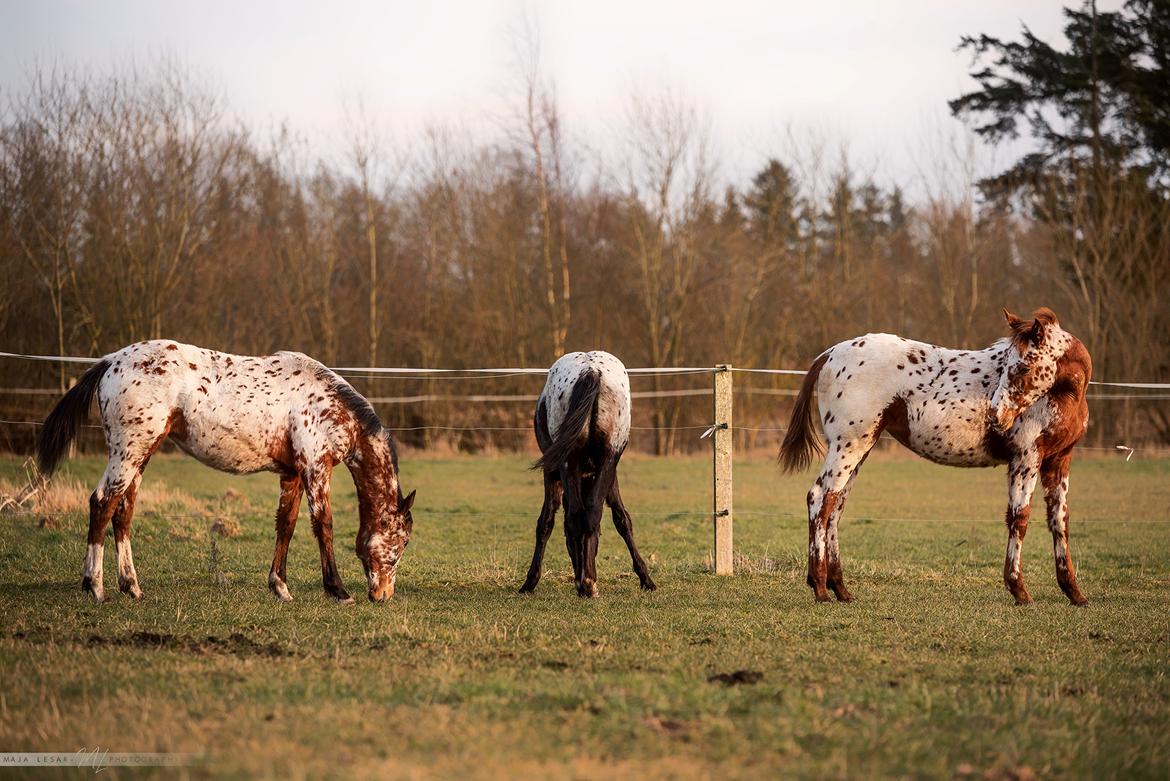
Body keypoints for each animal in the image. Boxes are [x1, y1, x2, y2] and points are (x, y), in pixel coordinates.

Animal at [36, 339, 416, 603]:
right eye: (402, 542)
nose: (383, 595)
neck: (326, 403)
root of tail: (112, 360)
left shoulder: (292, 474)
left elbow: (286, 525)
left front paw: (280, 587)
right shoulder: (315, 468)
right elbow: (324, 527)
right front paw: (338, 590)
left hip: (139, 455)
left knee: (123, 512)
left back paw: (132, 587)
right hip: (128, 452)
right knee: (102, 503)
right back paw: (96, 587)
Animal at [521, 353, 659, 598]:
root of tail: (591, 371)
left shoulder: (553, 473)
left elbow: (546, 521)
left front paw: (530, 581)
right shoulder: (608, 473)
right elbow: (620, 518)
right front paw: (645, 578)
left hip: (570, 463)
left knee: (578, 514)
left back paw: (585, 582)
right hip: (605, 461)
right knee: (590, 512)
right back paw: (588, 582)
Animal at [781, 308, 1090, 607]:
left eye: (1023, 366)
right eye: (1007, 365)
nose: (995, 416)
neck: (1063, 397)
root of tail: (830, 353)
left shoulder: (1059, 461)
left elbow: (1059, 520)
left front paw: (1075, 593)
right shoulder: (1026, 459)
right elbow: (1019, 518)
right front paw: (1020, 591)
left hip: (858, 450)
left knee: (835, 506)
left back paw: (841, 590)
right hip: (848, 447)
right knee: (819, 499)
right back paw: (820, 588)